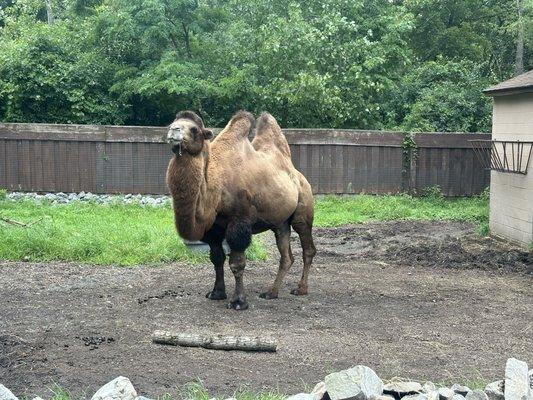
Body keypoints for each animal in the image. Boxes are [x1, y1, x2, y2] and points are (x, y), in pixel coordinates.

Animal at [165, 109, 316, 310]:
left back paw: (301, 289)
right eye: (172, 123)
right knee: (286, 256)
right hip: (280, 222)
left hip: (303, 210)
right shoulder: (213, 229)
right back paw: (271, 292)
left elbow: (237, 263)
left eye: (194, 129)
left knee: (307, 247)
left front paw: (238, 301)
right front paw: (217, 293)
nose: (173, 130)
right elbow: (216, 259)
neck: (215, 187)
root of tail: (299, 175)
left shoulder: (239, 222)